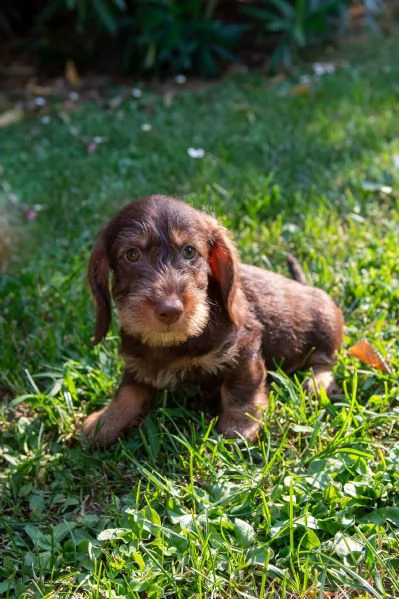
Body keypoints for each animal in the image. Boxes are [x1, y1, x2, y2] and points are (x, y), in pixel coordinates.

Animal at [83, 196, 344, 446]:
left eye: (189, 251)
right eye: (132, 254)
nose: (170, 310)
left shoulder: (243, 347)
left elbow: (240, 387)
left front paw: (239, 425)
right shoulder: (137, 362)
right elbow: (128, 392)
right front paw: (105, 421)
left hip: (326, 328)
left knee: (325, 361)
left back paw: (317, 382)